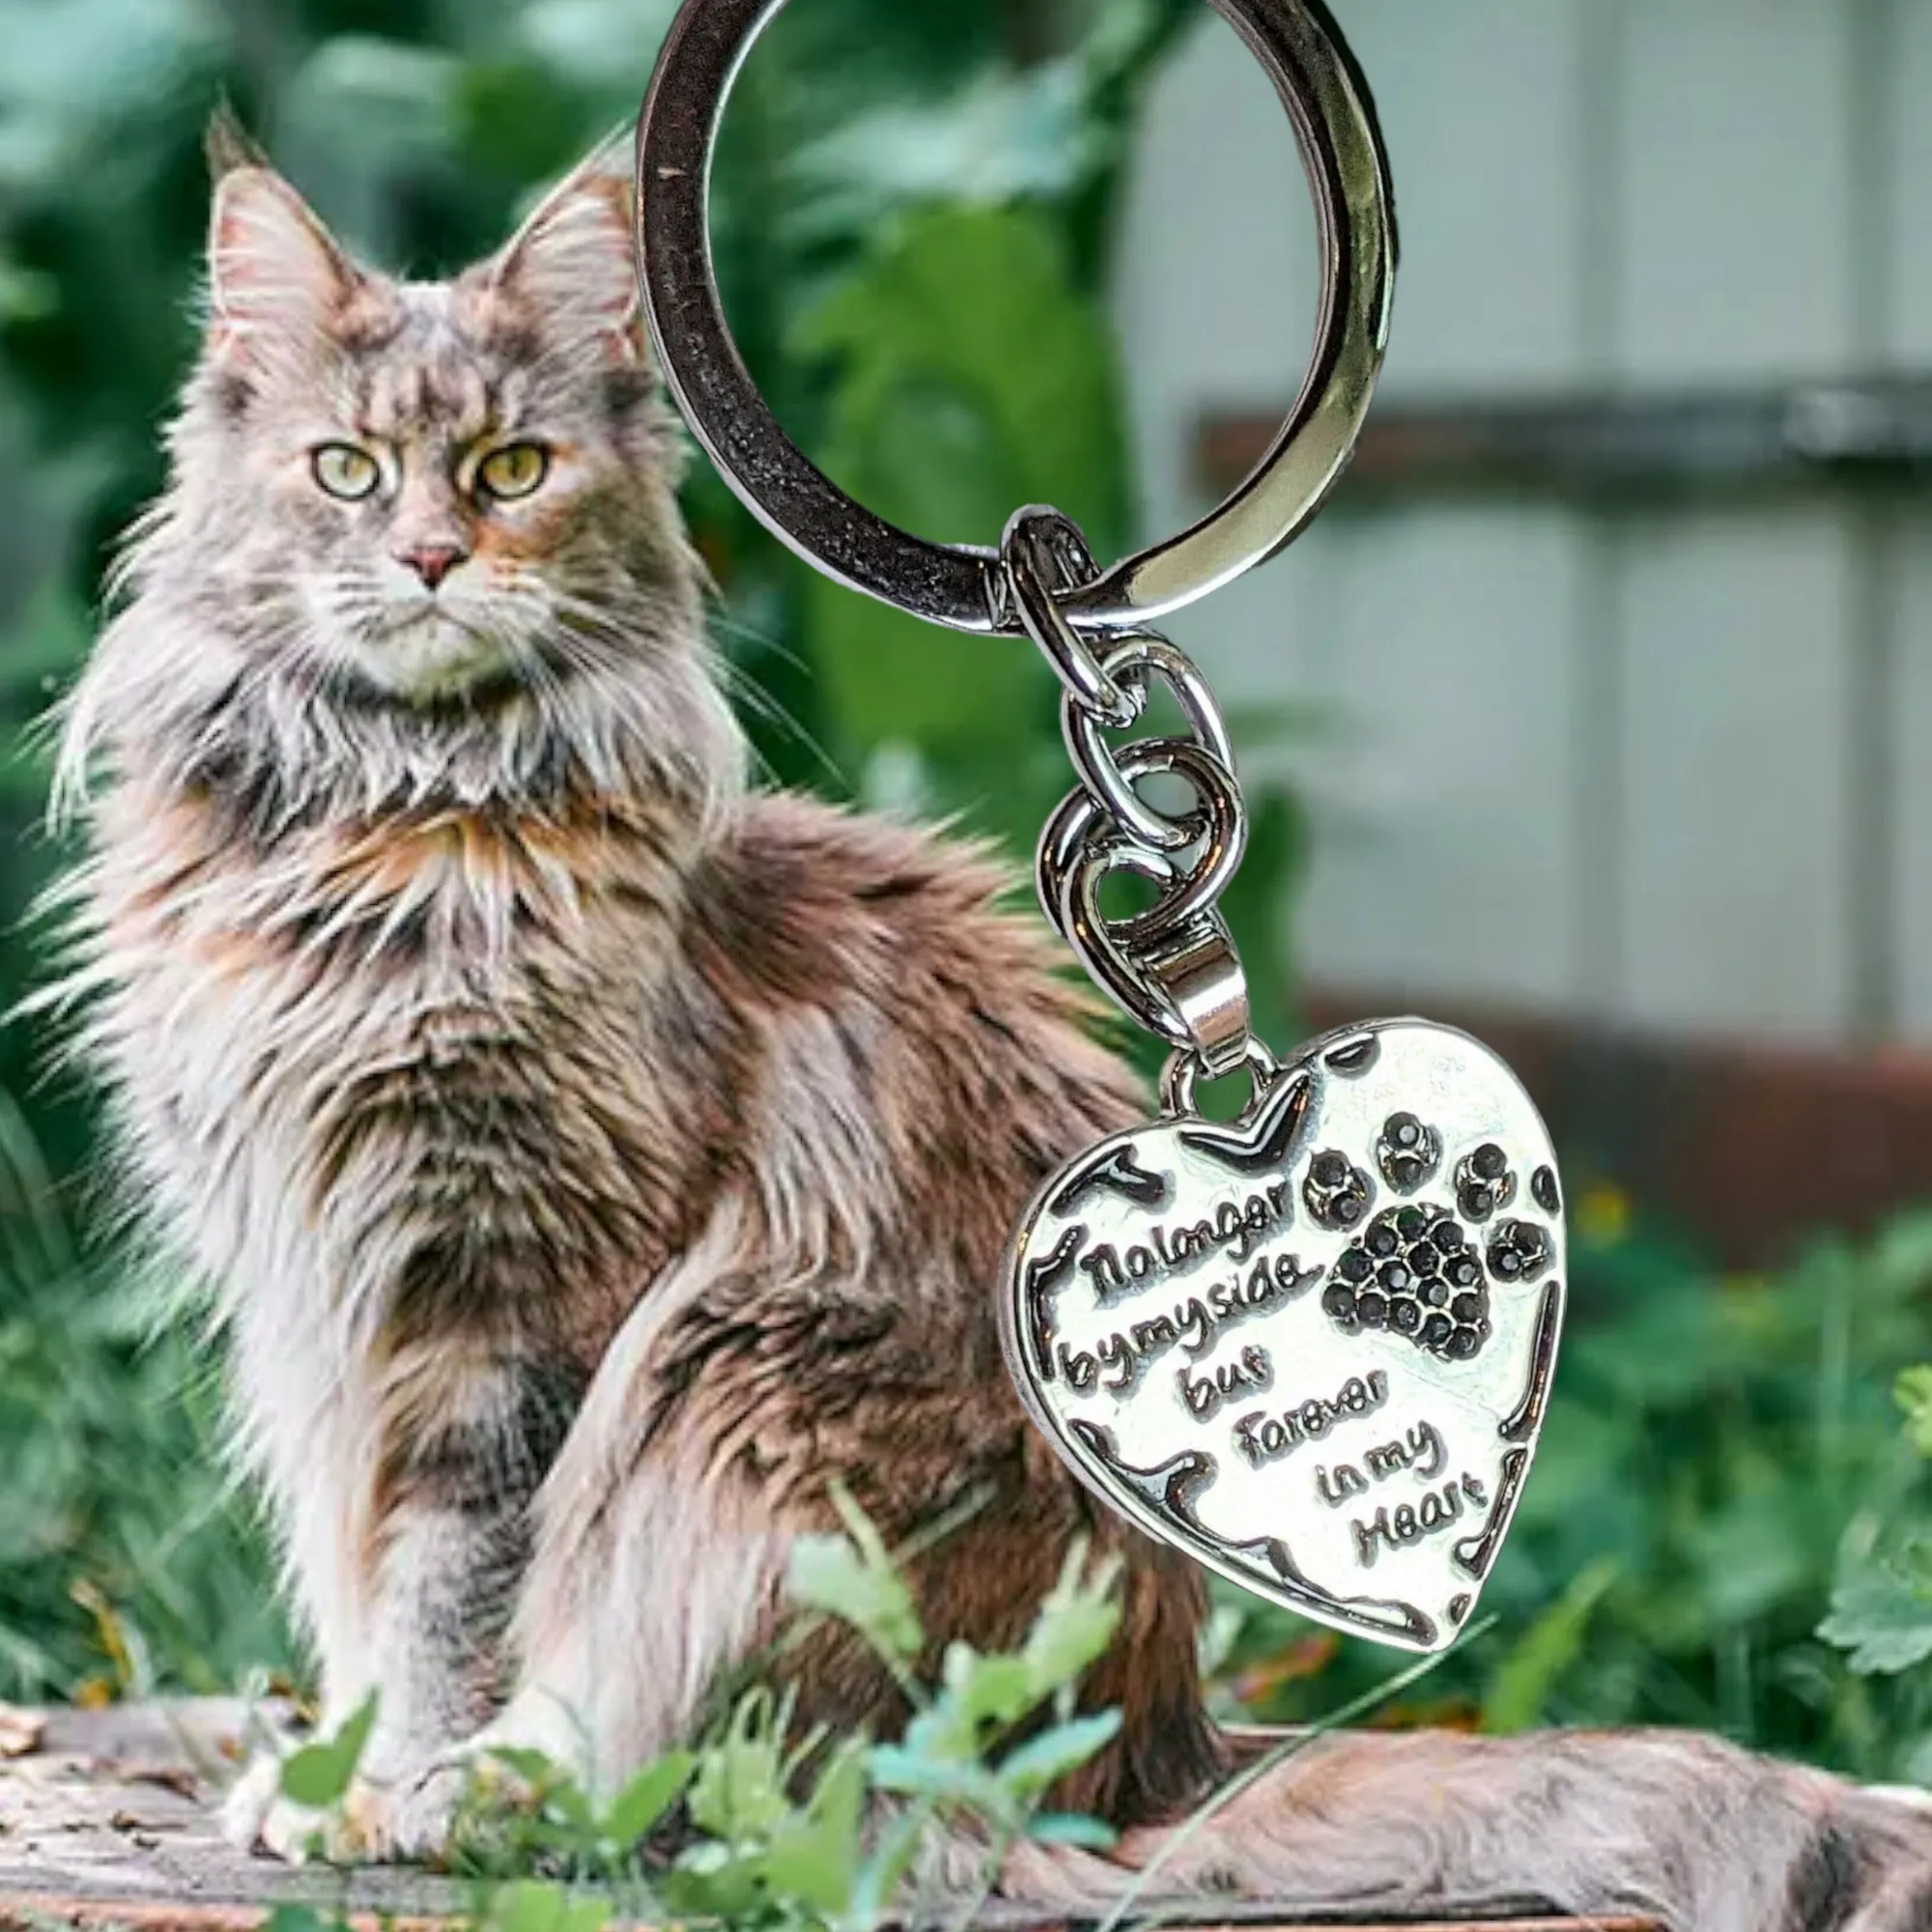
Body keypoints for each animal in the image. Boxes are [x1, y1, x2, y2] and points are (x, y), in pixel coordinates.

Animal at [42, 128, 1932, 1924]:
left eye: (514, 471)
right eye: (345, 472)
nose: (431, 557)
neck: (391, 824)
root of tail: (1147, 1759)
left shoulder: (516, 1303)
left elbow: (454, 1597)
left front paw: (402, 1793)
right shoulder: (323, 1311)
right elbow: (375, 1595)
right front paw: (334, 1773)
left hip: (743, 1386)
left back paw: (536, 1798)